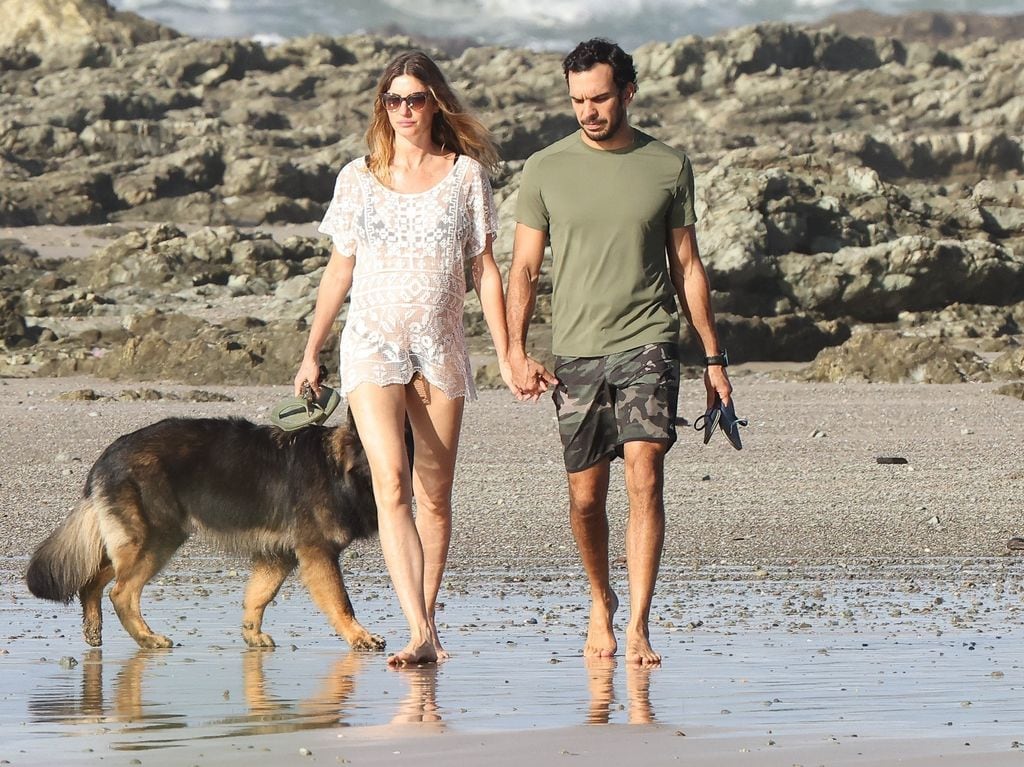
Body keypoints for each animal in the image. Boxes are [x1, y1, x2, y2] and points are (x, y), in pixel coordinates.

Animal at [27, 409, 395, 651]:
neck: (337, 469)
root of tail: (108, 454)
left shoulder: (277, 557)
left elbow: (258, 596)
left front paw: (251, 635)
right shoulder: (318, 554)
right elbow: (341, 601)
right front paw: (359, 636)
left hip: (137, 543)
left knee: (93, 581)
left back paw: (94, 629)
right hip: (158, 540)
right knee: (121, 592)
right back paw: (147, 638)